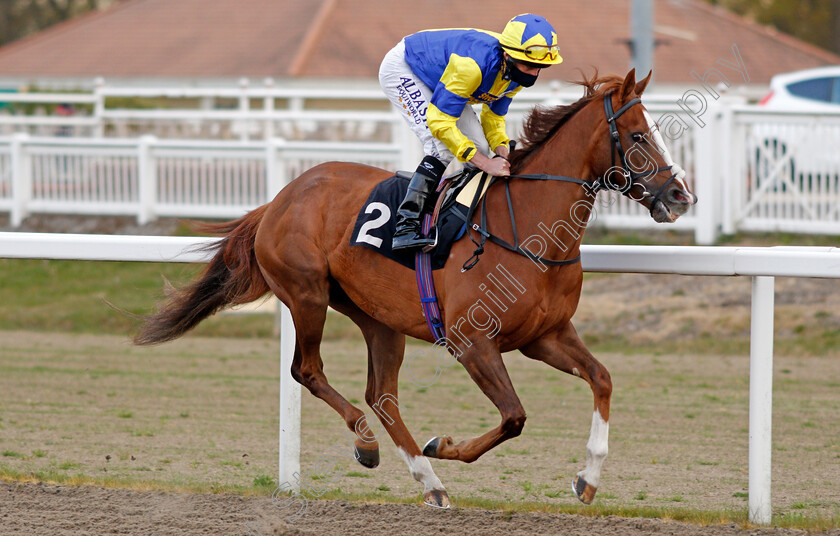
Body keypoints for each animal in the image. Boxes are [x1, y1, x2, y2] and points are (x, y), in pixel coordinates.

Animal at [133, 69, 696, 508]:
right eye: (638, 135)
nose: (680, 196)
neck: (526, 230)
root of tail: (279, 198)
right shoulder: (473, 341)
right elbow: (514, 417)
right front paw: (440, 444)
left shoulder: (546, 335)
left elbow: (601, 379)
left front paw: (587, 478)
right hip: (308, 294)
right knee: (308, 371)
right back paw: (369, 446)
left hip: (379, 318)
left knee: (382, 396)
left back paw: (430, 483)